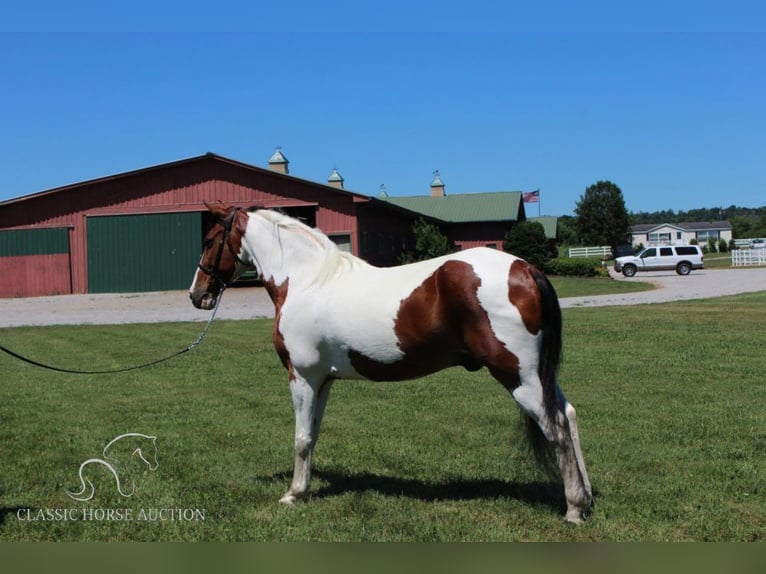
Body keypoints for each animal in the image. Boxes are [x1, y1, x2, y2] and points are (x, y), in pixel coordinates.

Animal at [190, 204, 592, 528]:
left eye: (209, 239)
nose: (197, 295)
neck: (306, 280)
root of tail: (525, 269)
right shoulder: (323, 381)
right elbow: (314, 434)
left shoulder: (302, 377)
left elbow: (301, 439)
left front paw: (294, 494)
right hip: (539, 376)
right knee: (569, 416)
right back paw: (586, 498)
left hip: (518, 377)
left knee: (556, 427)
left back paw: (573, 510)